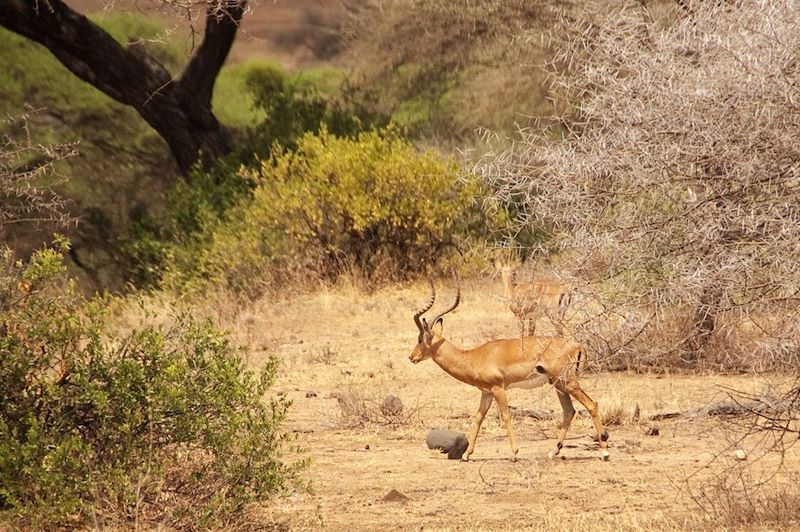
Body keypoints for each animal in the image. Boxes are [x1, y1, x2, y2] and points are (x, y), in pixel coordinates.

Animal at [410, 274, 608, 462]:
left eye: (420, 339)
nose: (411, 357)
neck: (473, 357)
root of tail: (577, 345)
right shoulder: (486, 392)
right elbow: (478, 417)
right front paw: (466, 455)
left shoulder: (498, 389)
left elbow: (506, 416)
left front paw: (514, 453)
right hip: (558, 385)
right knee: (569, 411)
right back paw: (553, 452)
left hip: (568, 383)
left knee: (592, 405)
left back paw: (604, 452)